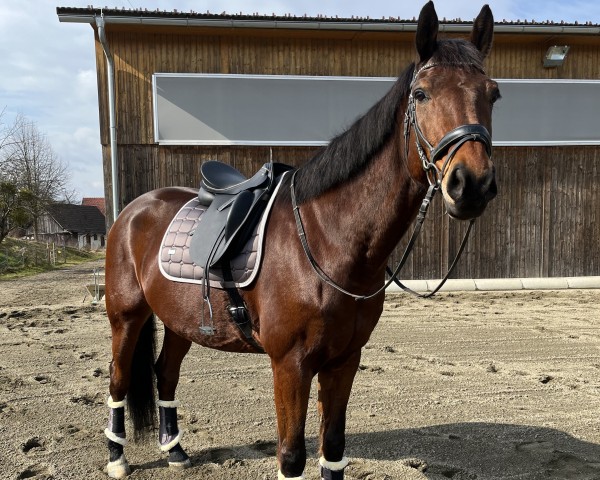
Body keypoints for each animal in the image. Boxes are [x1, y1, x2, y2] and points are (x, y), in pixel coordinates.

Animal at [102, 1, 496, 478]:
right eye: (421, 94)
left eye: (493, 93)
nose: (471, 184)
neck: (327, 240)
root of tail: (133, 211)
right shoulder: (290, 365)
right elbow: (291, 456)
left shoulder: (344, 361)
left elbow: (334, 449)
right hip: (126, 316)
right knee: (119, 378)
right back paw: (117, 457)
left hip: (181, 320)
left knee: (166, 372)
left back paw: (175, 449)